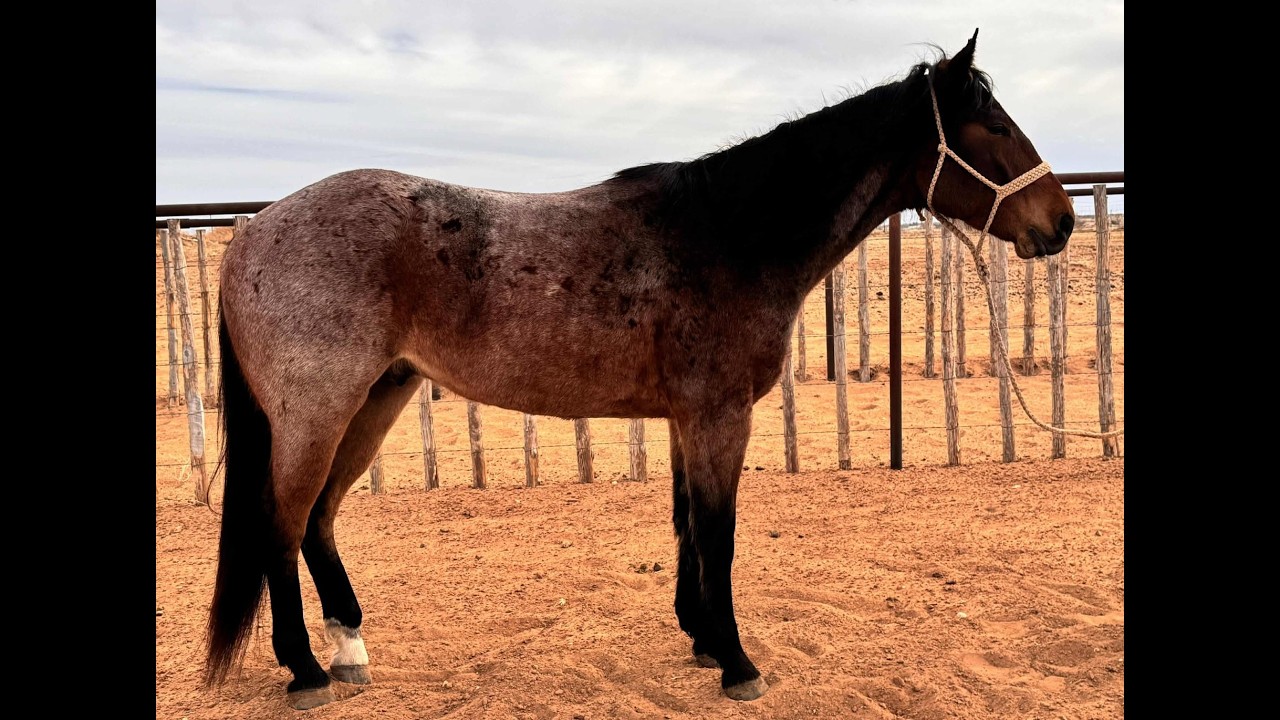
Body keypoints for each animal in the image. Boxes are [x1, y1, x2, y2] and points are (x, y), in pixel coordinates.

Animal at [204, 29, 1074, 710]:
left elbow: (688, 525)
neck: (728, 235)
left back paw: (349, 649)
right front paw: (738, 664)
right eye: (995, 126)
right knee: (282, 524)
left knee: (319, 519)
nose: (1061, 222)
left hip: (376, 398)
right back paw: (308, 671)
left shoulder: (691, 418)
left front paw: (702, 639)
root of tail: (252, 234)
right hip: (320, 410)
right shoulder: (720, 415)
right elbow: (719, 534)